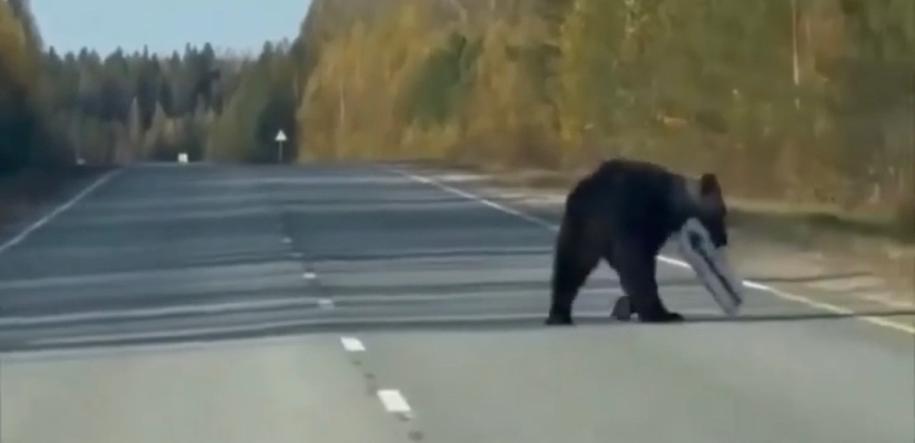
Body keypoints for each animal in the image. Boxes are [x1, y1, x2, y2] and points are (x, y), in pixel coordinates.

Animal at [545, 158, 729, 325]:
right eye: (721, 213)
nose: (723, 239)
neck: (671, 207)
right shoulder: (642, 217)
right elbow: (637, 265)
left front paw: (626, 305)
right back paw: (661, 314)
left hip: (580, 226)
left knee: (571, 264)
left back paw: (559, 314)